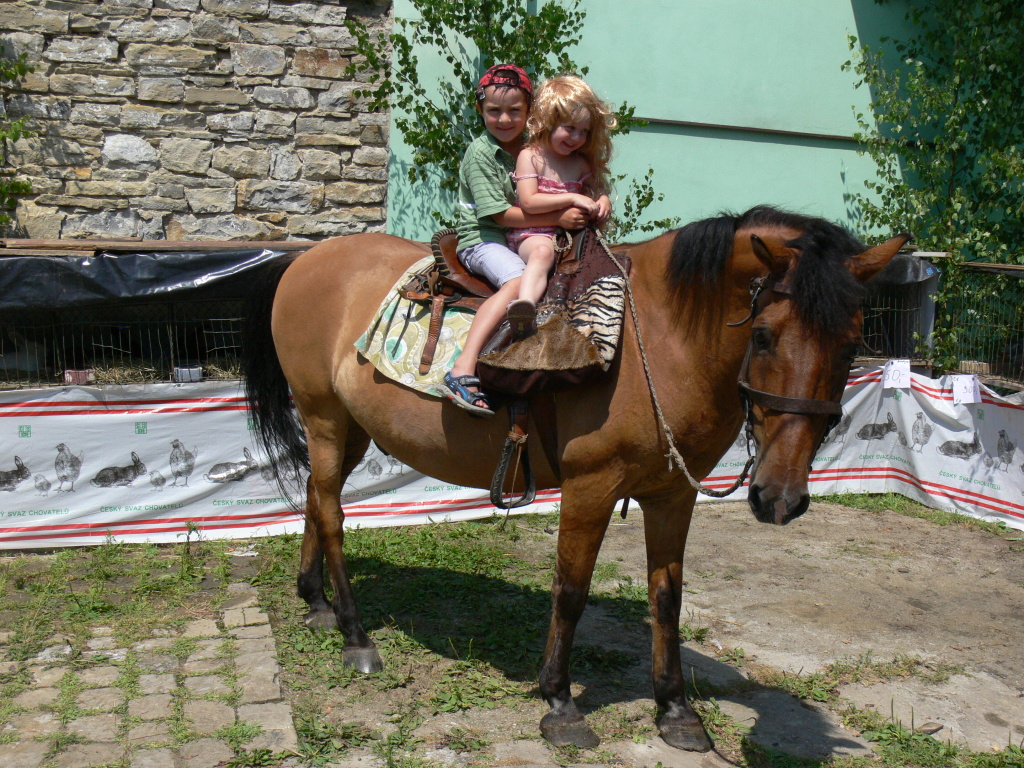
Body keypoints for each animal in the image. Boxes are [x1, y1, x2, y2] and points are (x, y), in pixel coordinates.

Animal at [242, 205, 907, 752]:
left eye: (852, 346)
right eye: (764, 335)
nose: (780, 499)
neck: (659, 337)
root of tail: (306, 258)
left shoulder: (673, 494)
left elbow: (667, 596)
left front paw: (675, 710)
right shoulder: (591, 486)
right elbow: (571, 591)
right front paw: (559, 703)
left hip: (350, 428)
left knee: (314, 497)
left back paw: (317, 603)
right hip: (325, 417)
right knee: (332, 514)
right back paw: (356, 636)